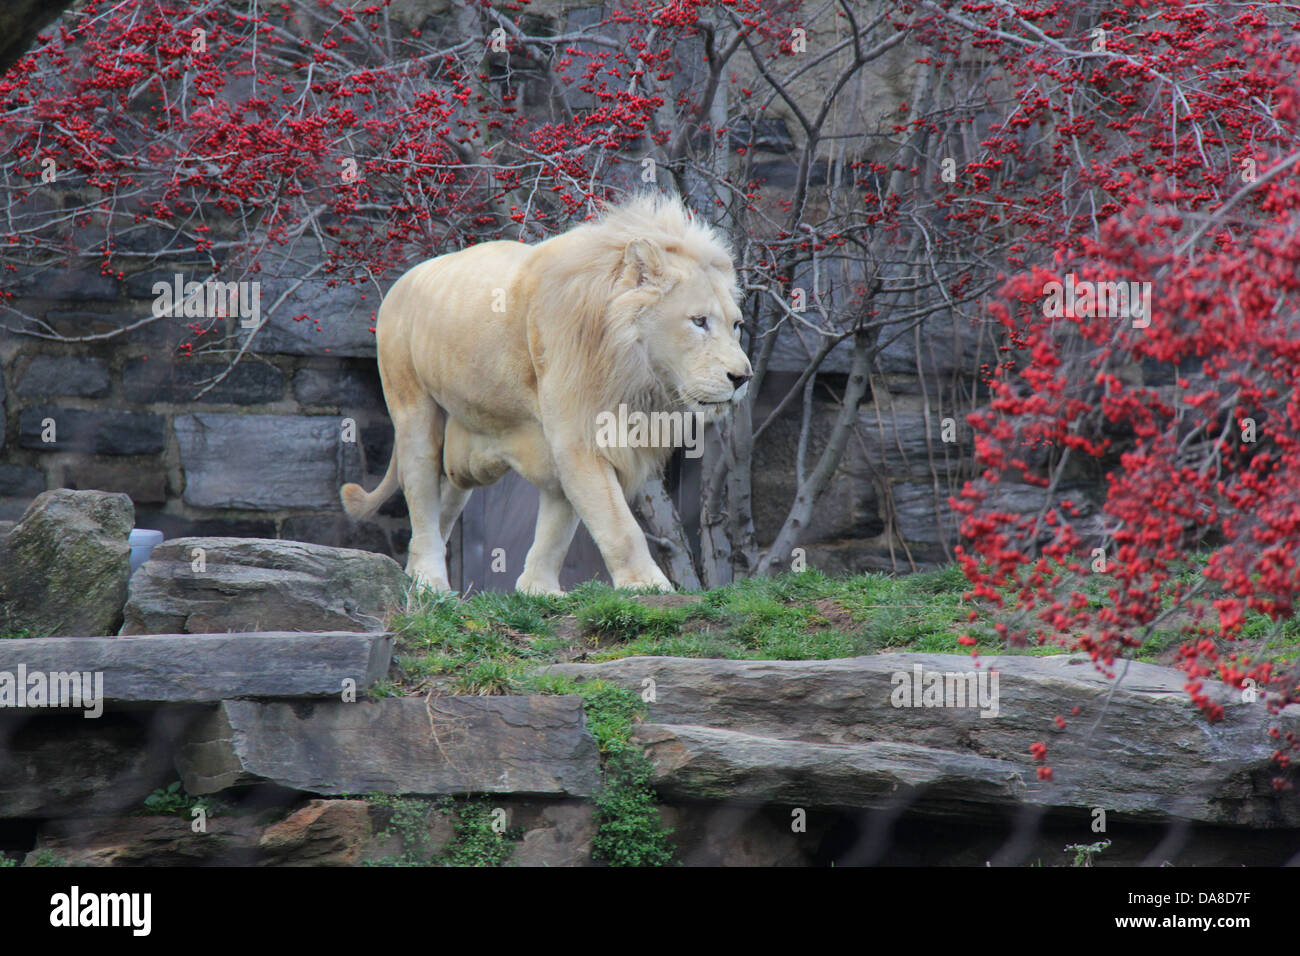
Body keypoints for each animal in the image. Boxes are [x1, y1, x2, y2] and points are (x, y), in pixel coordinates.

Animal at [340, 195, 754, 595]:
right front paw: (646, 584)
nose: (743, 377)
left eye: (736, 325)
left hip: (462, 448)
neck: (635, 374)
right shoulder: (578, 435)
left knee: (446, 501)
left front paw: (538, 589)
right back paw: (430, 581)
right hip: (414, 410)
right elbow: (616, 522)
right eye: (699, 321)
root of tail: (403, 280)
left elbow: (558, 525)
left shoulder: (563, 441)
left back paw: (416, 582)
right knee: (421, 494)